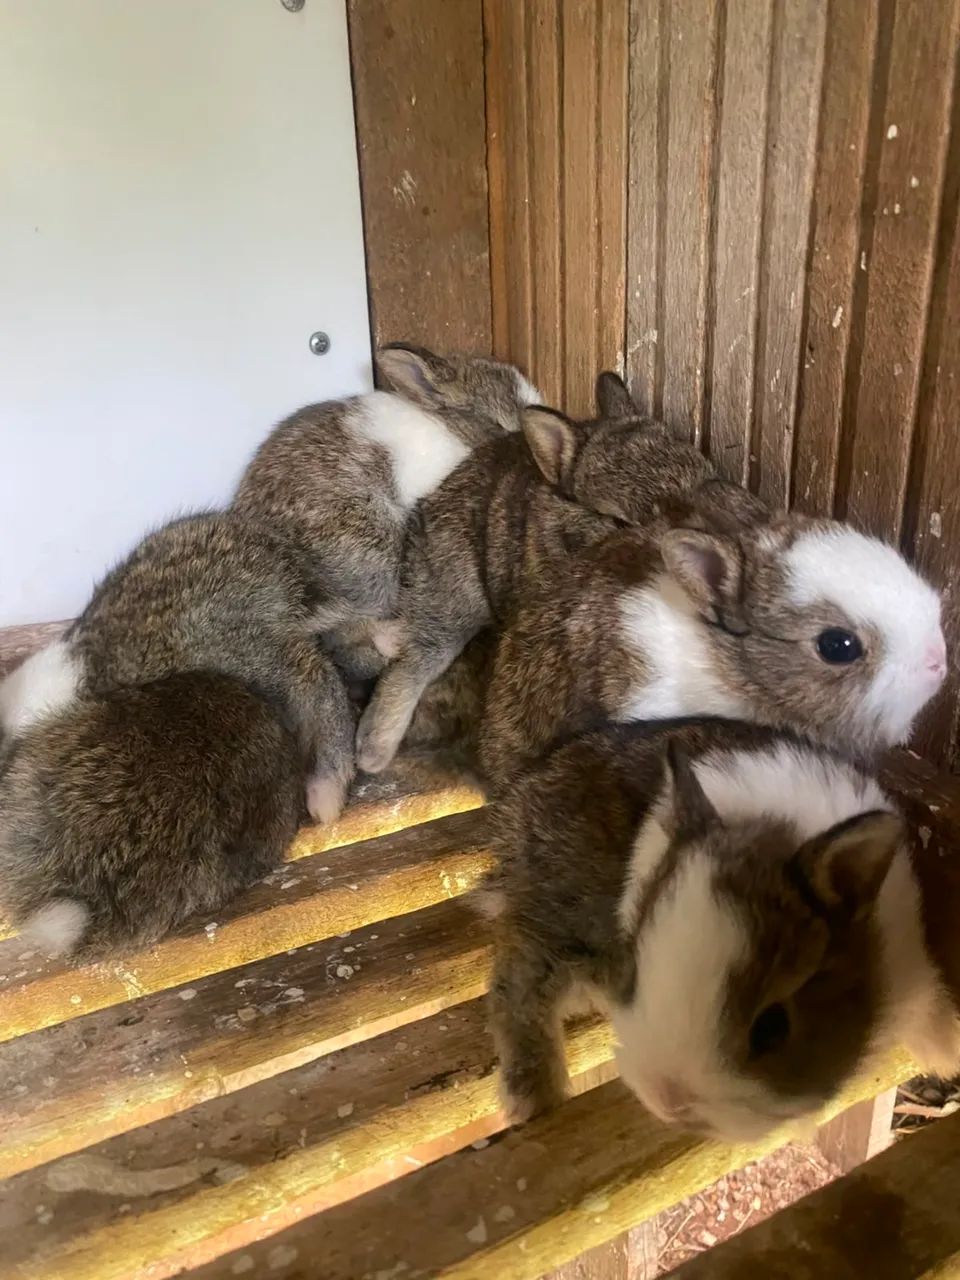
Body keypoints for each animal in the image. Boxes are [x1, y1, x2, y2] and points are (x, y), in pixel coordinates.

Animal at [482, 717, 960, 1141]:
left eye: (772, 1027)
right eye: (634, 972)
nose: (667, 1099)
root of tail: (518, 803)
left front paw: (948, 1049)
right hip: (561, 923)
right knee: (520, 986)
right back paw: (533, 1096)